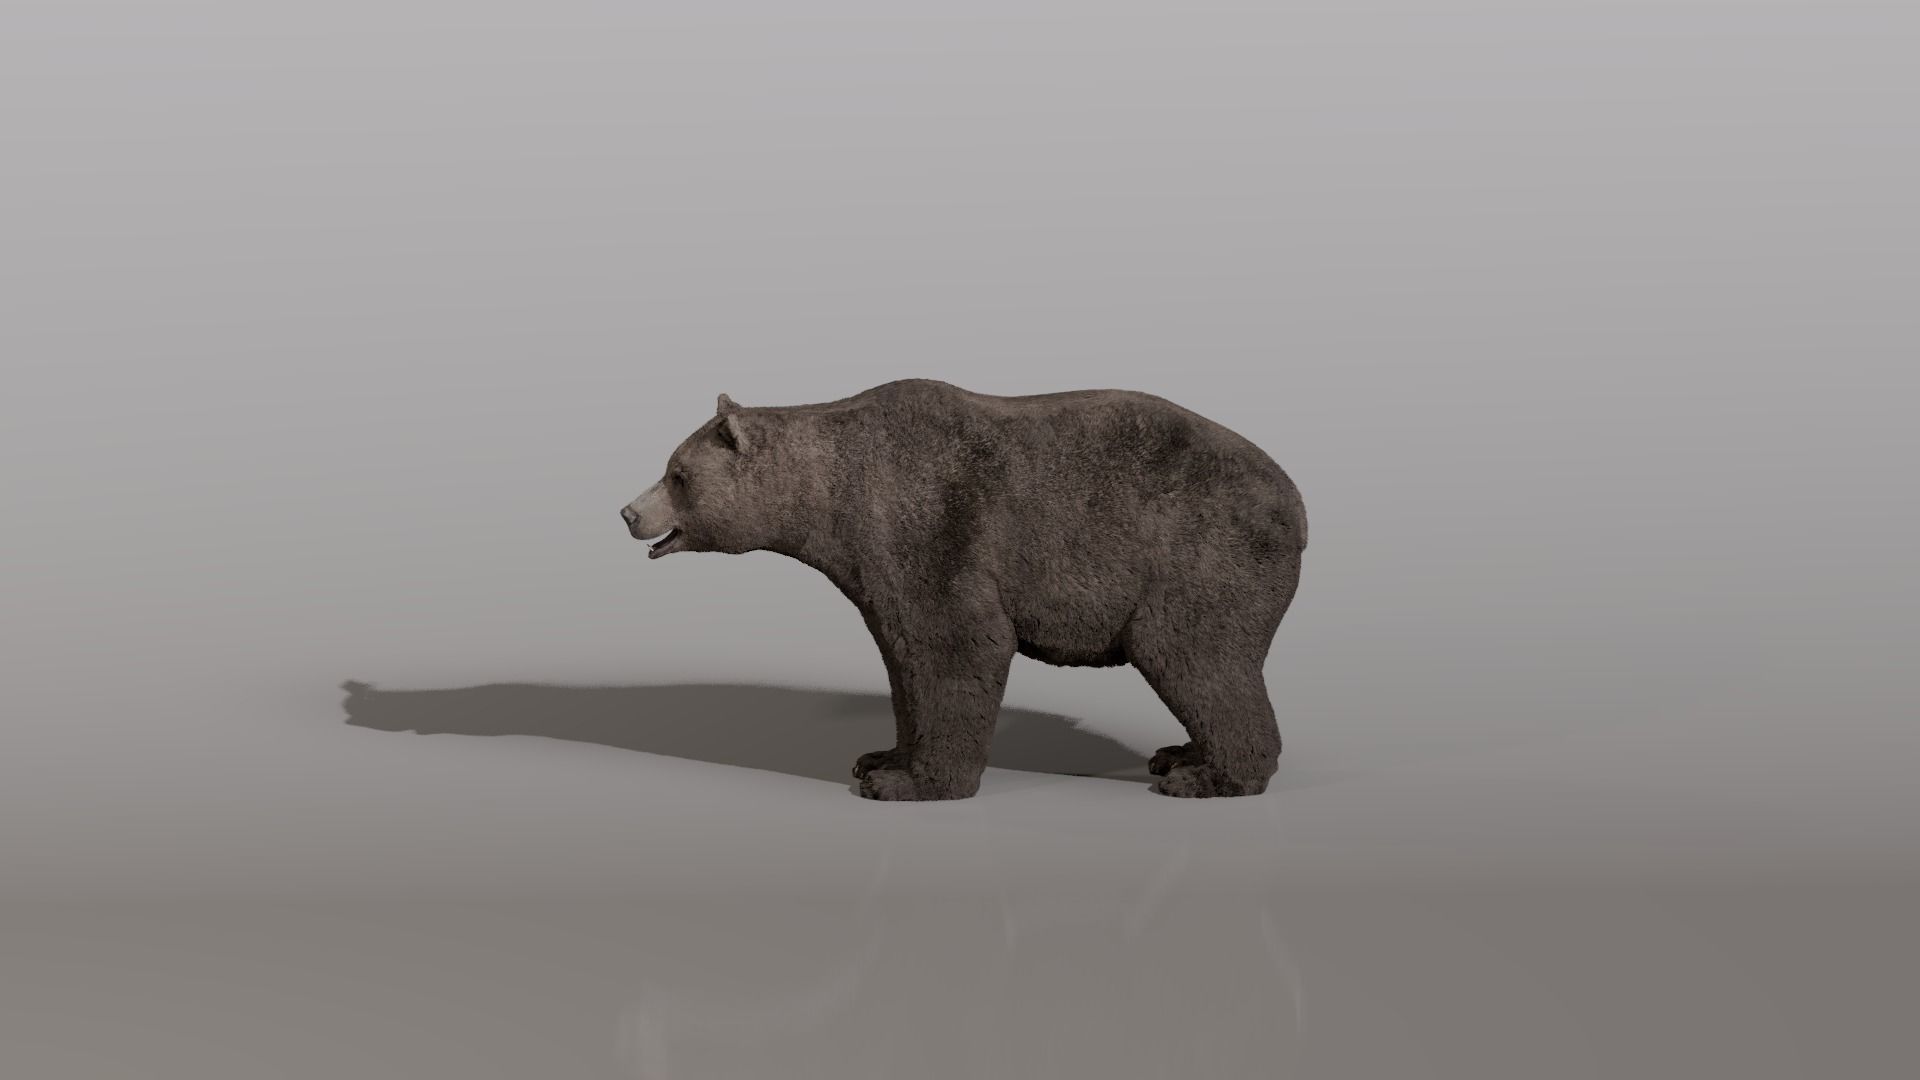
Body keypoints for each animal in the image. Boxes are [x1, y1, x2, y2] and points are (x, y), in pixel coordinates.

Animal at [619, 379, 1307, 800]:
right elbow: (901, 655)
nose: (628, 513)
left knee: (1193, 654)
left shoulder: (930, 524)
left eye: (677, 474)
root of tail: (1297, 505)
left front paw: (912, 785)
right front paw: (883, 758)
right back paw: (1180, 752)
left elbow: (959, 642)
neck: (839, 493)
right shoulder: (876, 567)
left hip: (1202, 556)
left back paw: (1208, 775)